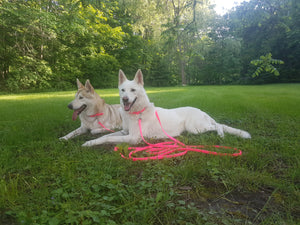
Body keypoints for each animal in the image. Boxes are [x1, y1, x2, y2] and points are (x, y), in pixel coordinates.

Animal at [82, 69, 251, 147]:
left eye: (133, 90)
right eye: (122, 90)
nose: (124, 100)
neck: (137, 112)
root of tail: (201, 111)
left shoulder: (133, 138)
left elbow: (109, 137)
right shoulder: (124, 132)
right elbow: (105, 136)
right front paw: (90, 142)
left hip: (195, 128)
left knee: (218, 125)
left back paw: (221, 134)